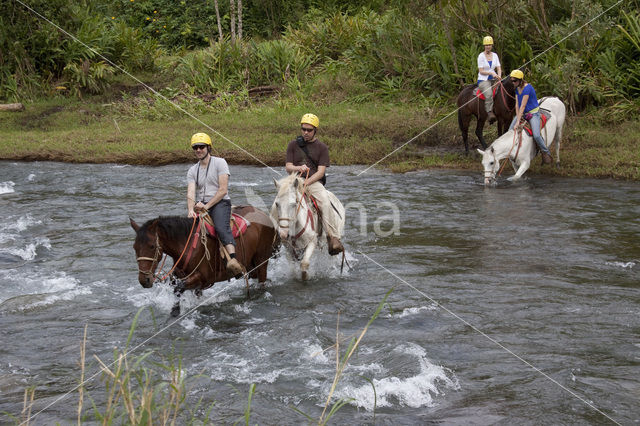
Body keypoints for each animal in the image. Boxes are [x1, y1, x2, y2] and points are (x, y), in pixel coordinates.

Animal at [130, 206, 278, 316]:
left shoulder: (203, 277)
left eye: (152, 246)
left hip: (262, 261)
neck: (187, 243)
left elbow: (178, 288)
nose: (144, 280)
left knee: (262, 280)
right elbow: (178, 288)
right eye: (134, 247)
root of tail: (265, 216)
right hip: (251, 265)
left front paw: (175, 312)